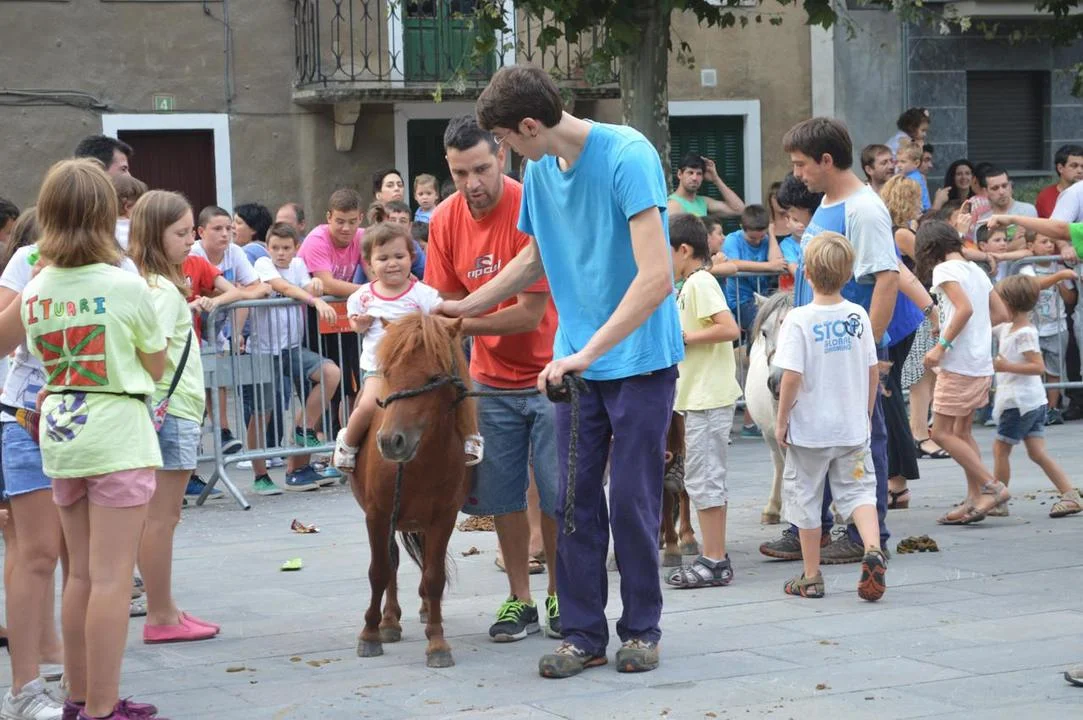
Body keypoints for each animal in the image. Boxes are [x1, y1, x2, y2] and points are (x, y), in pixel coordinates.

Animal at [349, 313, 476, 669]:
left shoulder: (444, 518)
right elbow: (379, 570)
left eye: (434, 377)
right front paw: (370, 633)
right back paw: (389, 620)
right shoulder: (377, 516)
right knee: (390, 563)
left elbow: (434, 577)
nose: (391, 441)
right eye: (388, 373)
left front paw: (437, 642)